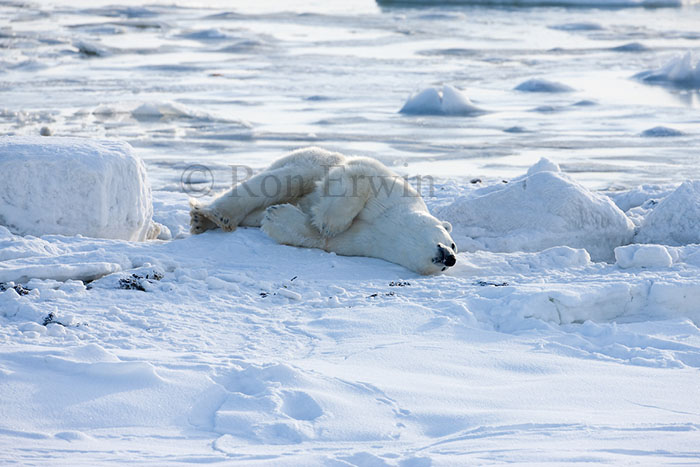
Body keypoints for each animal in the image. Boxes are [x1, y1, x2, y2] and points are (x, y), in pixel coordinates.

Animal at [189, 147, 457, 275]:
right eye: (453, 243)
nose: (451, 258)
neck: (390, 225)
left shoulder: (360, 242)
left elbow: (319, 238)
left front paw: (277, 217)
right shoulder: (391, 189)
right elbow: (356, 176)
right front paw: (329, 221)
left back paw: (204, 221)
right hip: (311, 160)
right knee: (278, 181)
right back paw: (212, 215)